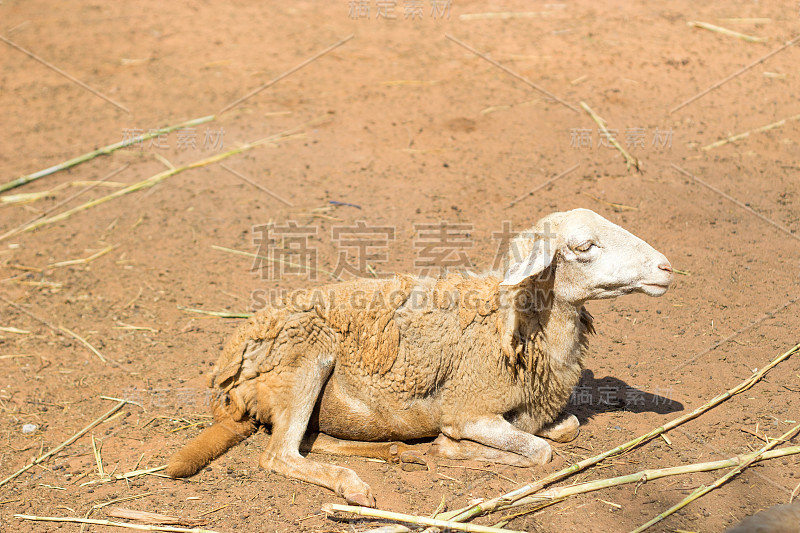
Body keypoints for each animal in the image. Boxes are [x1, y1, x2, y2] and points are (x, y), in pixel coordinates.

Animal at [166, 206, 672, 504]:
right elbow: (540, 451)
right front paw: (453, 449)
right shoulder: (468, 410)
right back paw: (354, 485)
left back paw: (396, 452)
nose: (667, 267)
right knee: (278, 455)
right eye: (584, 246)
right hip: (306, 359)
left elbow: (563, 430)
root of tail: (229, 380)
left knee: (311, 439)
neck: (510, 327)